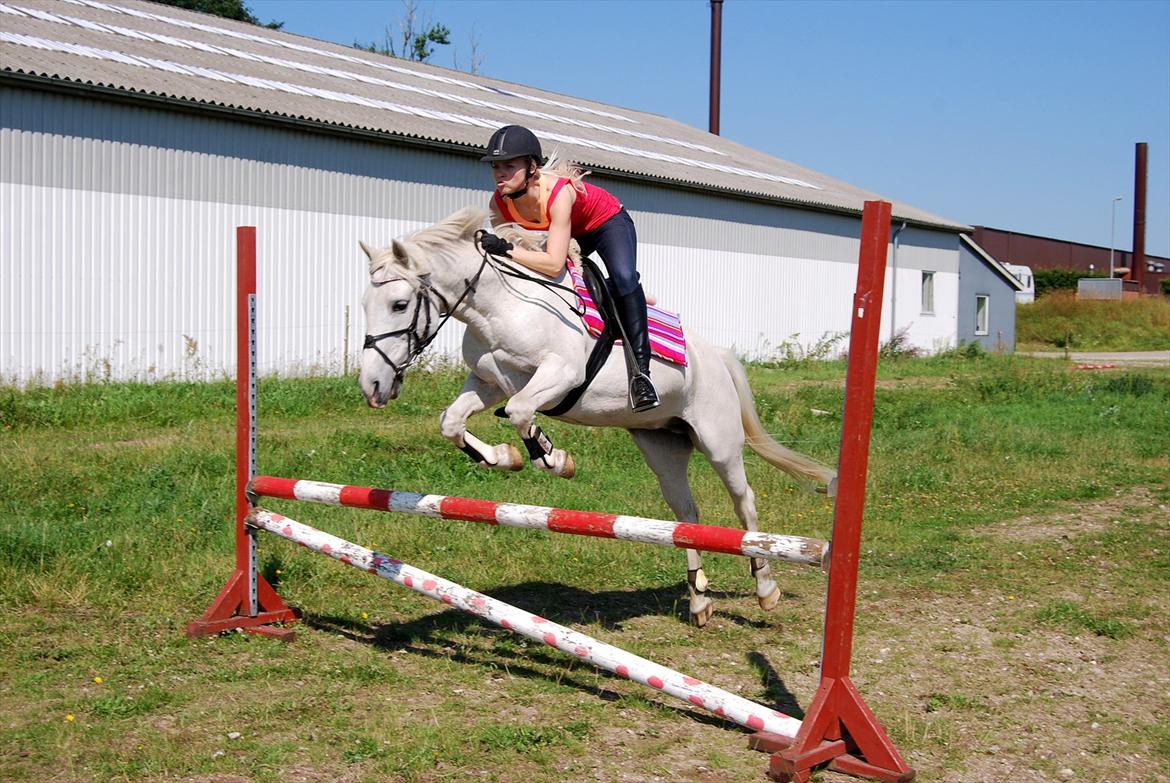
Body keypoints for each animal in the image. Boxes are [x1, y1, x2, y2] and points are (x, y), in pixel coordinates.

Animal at [353, 204, 833, 627]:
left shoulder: (561, 373)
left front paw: (553, 458)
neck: (500, 306)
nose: (372, 386)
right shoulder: (488, 382)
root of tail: (715, 354)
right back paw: (699, 601)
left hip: (718, 440)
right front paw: (507, 457)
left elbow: (522, 411)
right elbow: (453, 422)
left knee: (743, 502)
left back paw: (766, 588)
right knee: (685, 513)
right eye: (365, 304)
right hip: (661, 443)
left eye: (399, 304)